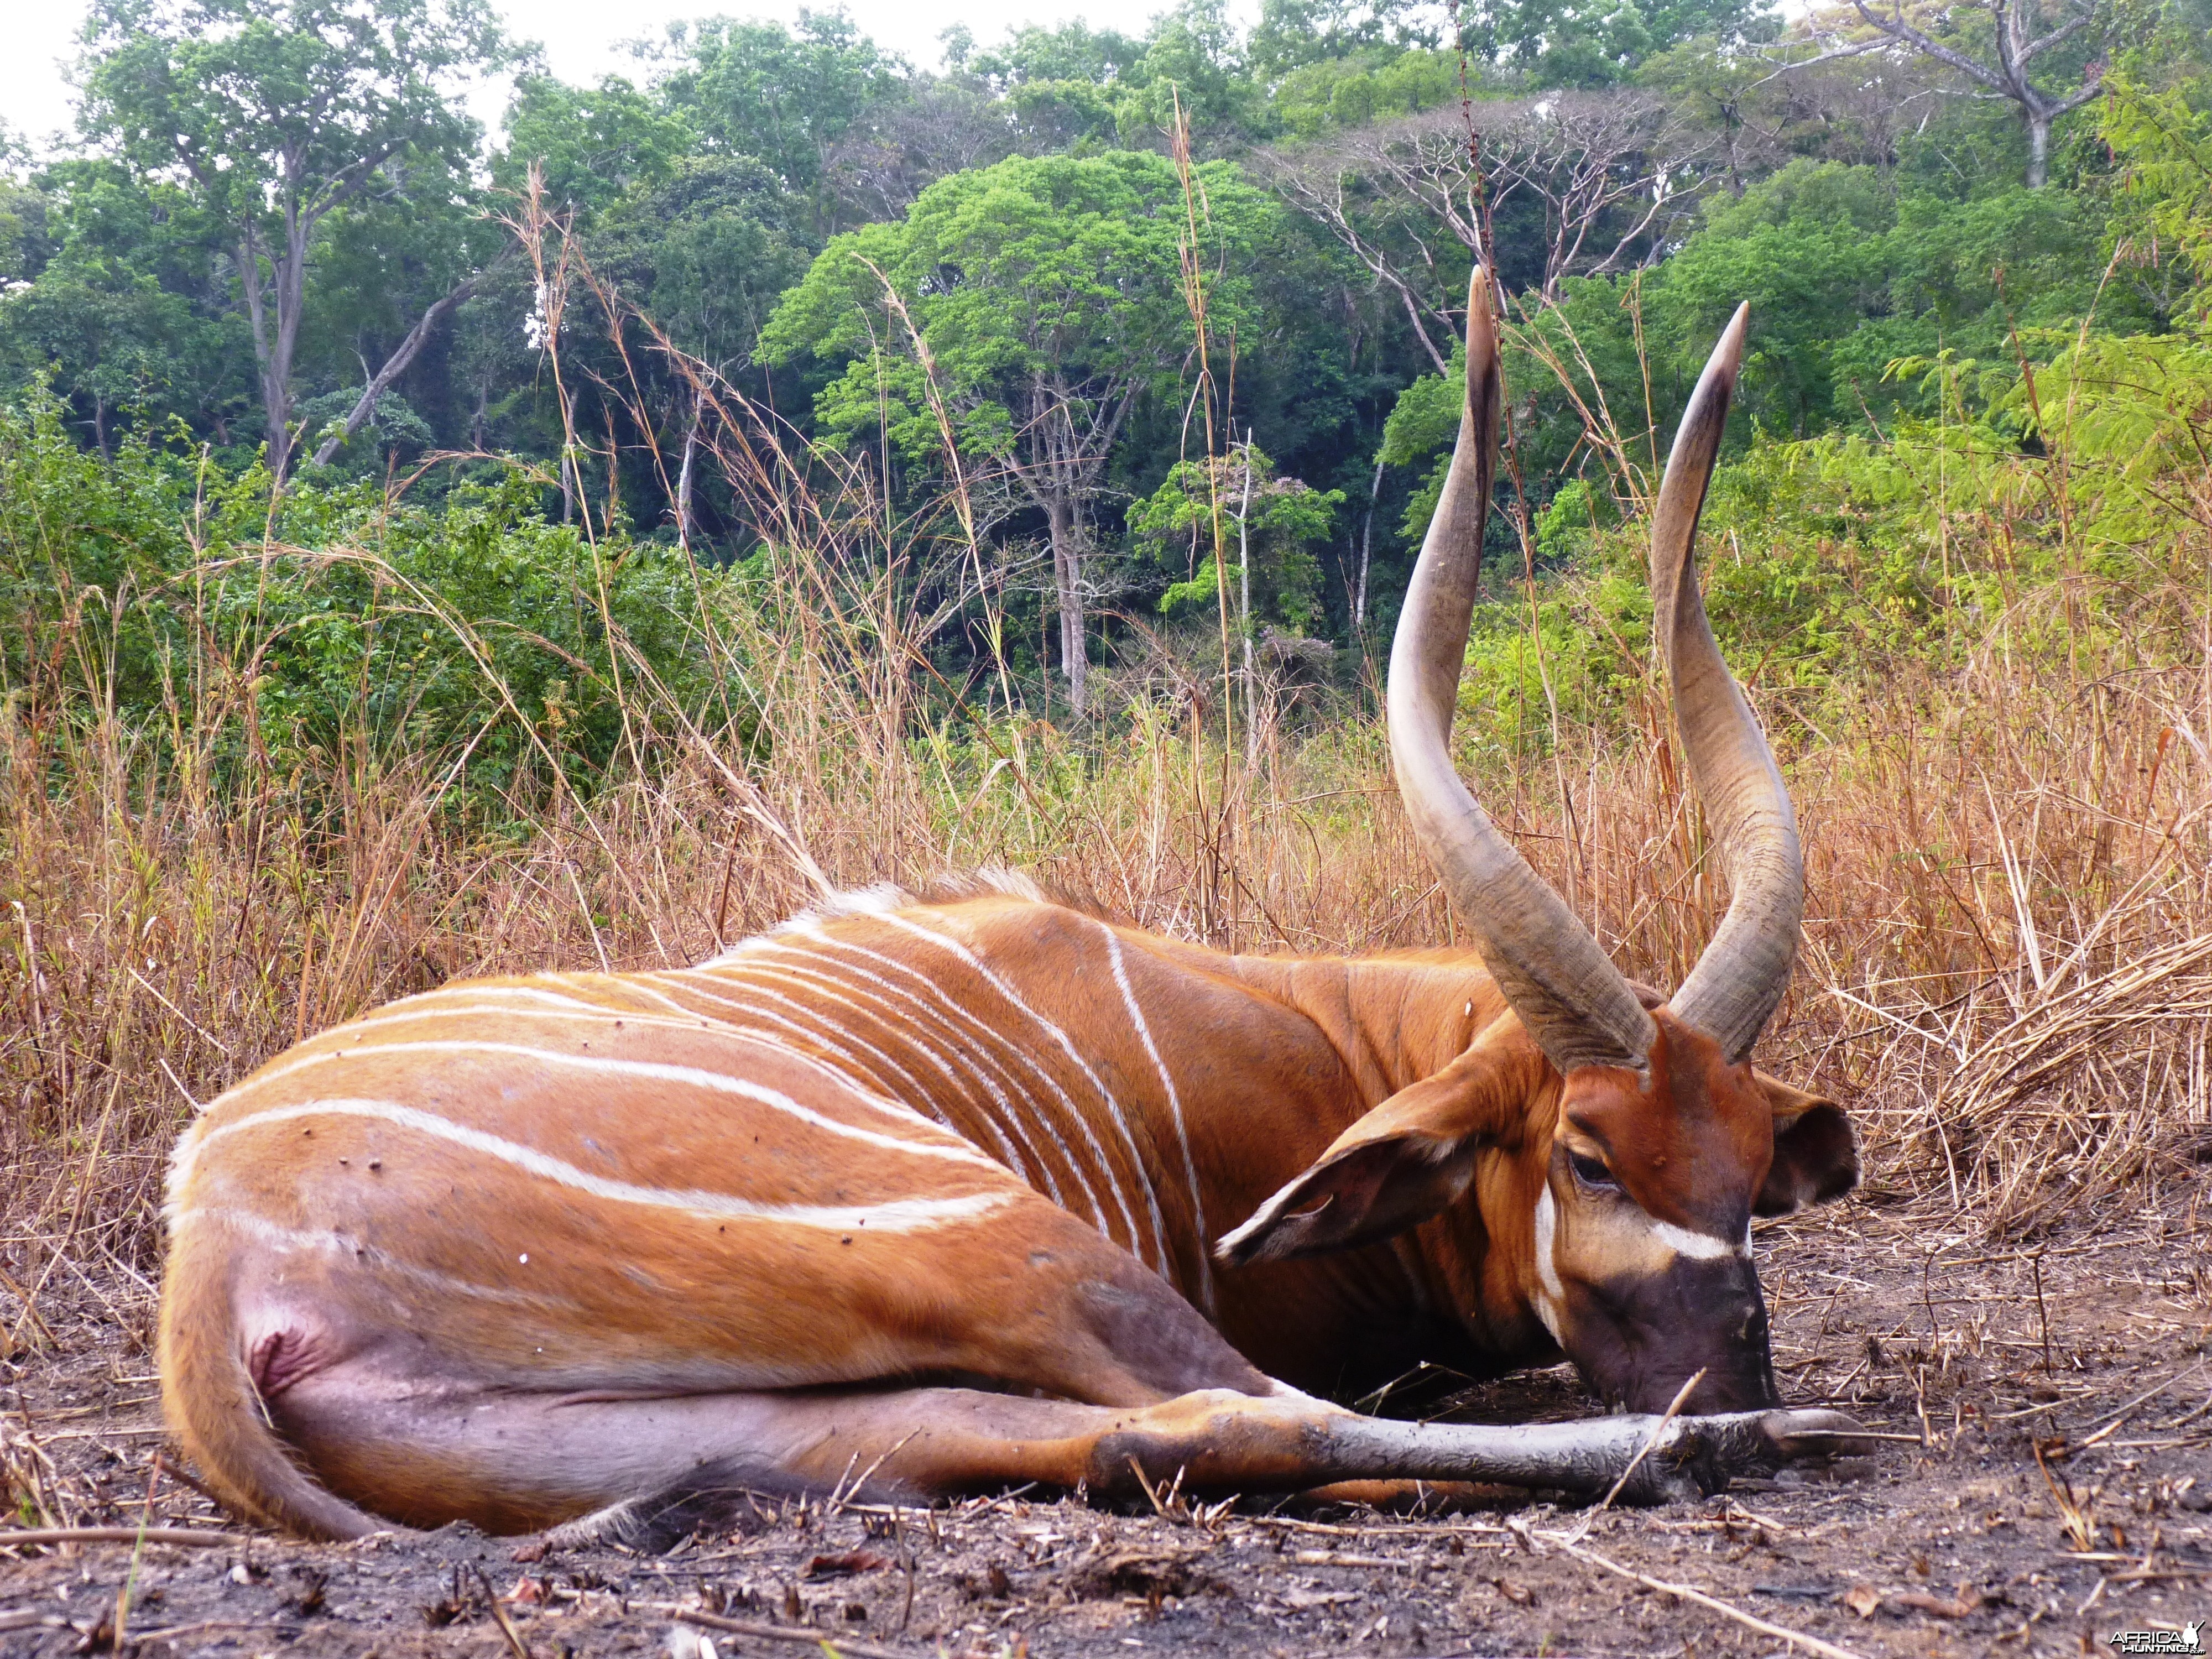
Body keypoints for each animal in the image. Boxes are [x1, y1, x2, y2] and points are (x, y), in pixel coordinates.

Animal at [160, 276, 1867, 1548]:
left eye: (1747, 1166)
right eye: (1587, 1153)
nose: (1721, 1376)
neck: (1320, 1035)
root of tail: (215, 1266)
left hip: (730, 1420)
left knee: (1147, 1437)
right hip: (1003, 1244)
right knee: (1253, 1411)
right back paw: (1752, 1443)